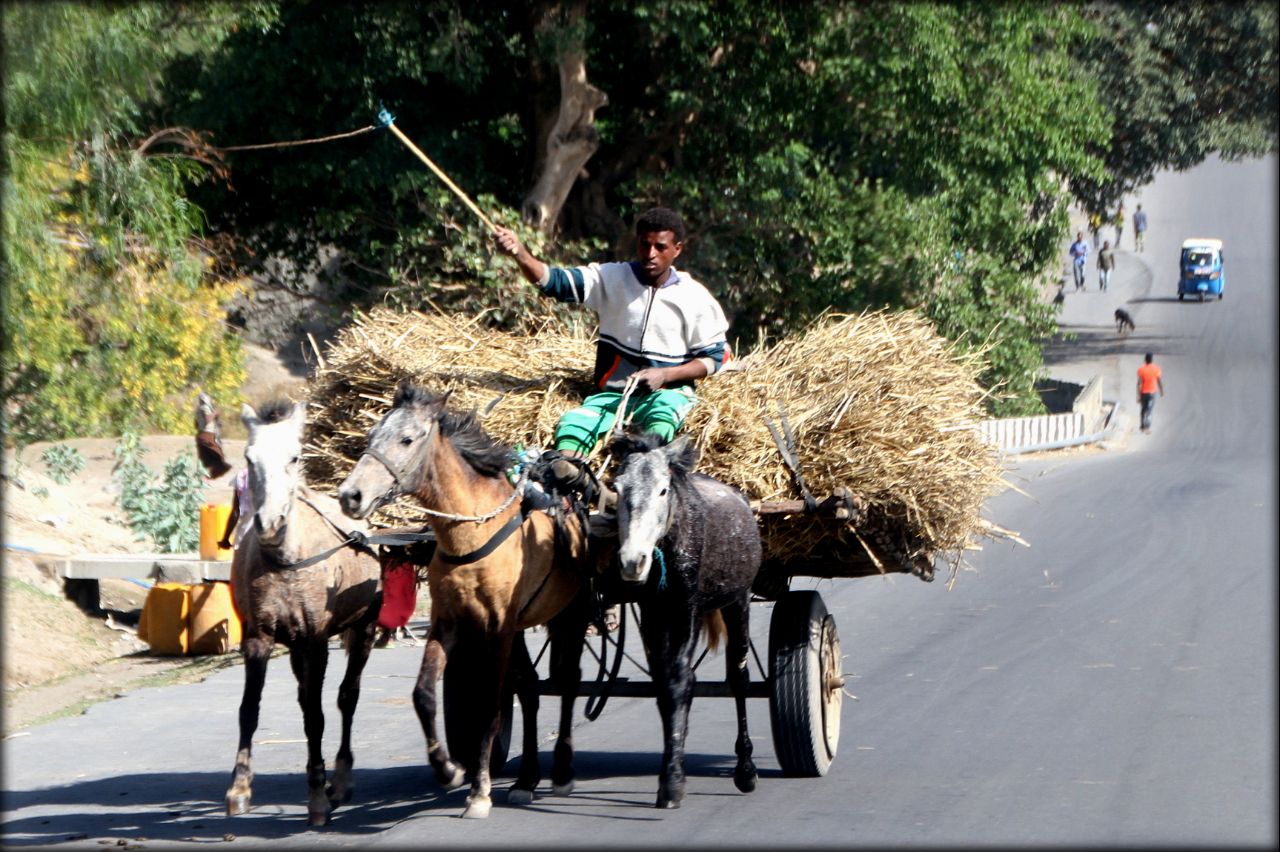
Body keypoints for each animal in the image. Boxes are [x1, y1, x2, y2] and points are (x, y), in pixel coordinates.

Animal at [222, 399, 381, 823]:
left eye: (294, 457)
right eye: (249, 458)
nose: (268, 523)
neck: (285, 563)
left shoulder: (316, 641)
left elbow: (316, 716)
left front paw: (317, 799)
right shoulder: (258, 638)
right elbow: (248, 710)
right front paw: (239, 789)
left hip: (364, 629)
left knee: (347, 696)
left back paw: (339, 780)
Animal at [332, 383, 586, 818]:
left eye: (407, 439)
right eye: (370, 435)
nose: (351, 495)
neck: (471, 533)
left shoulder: (498, 628)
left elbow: (489, 706)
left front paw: (480, 791)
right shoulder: (449, 621)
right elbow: (423, 695)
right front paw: (448, 768)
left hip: (570, 614)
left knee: (568, 681)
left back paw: (564, 771)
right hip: (522, 628)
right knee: (530, 689)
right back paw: (526, 779)